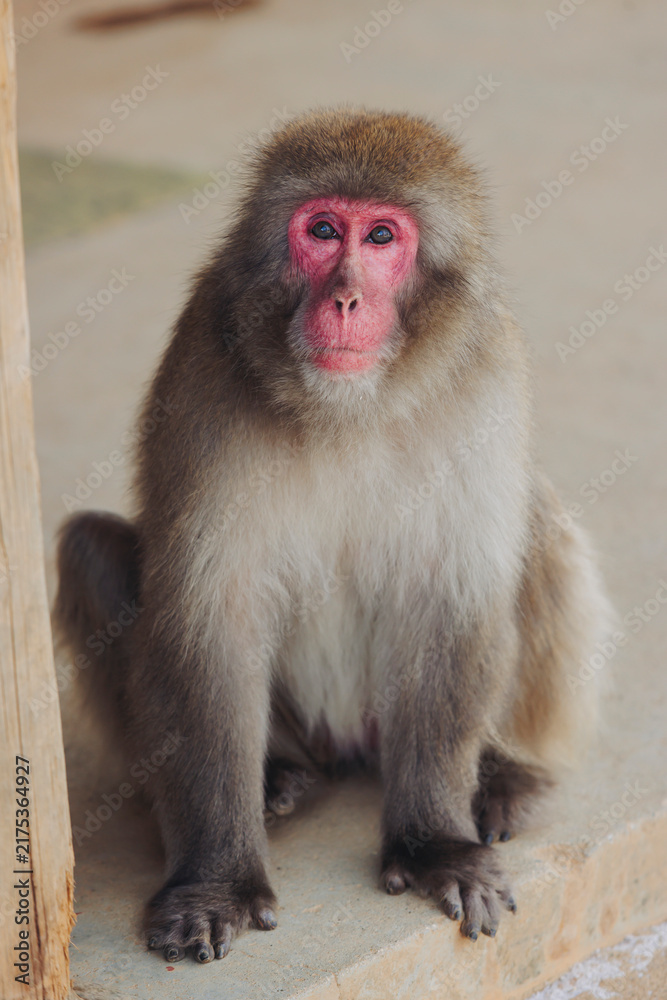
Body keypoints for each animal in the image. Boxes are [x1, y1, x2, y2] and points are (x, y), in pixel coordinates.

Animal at [55, 108, 610, 965]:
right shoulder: (203, 370)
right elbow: (209, 616)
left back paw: (503, 774)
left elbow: (449, 593)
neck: (352, 404)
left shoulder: (486, 369)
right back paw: (276, 777)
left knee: (533, 521)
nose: (345, 297)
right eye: (321, 230)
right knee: (92, 550)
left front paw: (433, 846)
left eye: (380, 237)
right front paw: (214, 879)